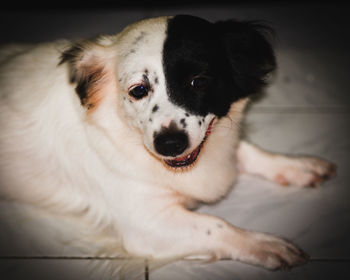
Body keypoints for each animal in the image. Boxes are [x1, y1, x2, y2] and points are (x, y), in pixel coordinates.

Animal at [0, 14, 336, 272]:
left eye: (199, 82)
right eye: (138, 90)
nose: (170, 144)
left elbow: (248, 151)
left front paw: (297, 166)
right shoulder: (146, 224)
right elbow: (216, 225)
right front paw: (263, 244)